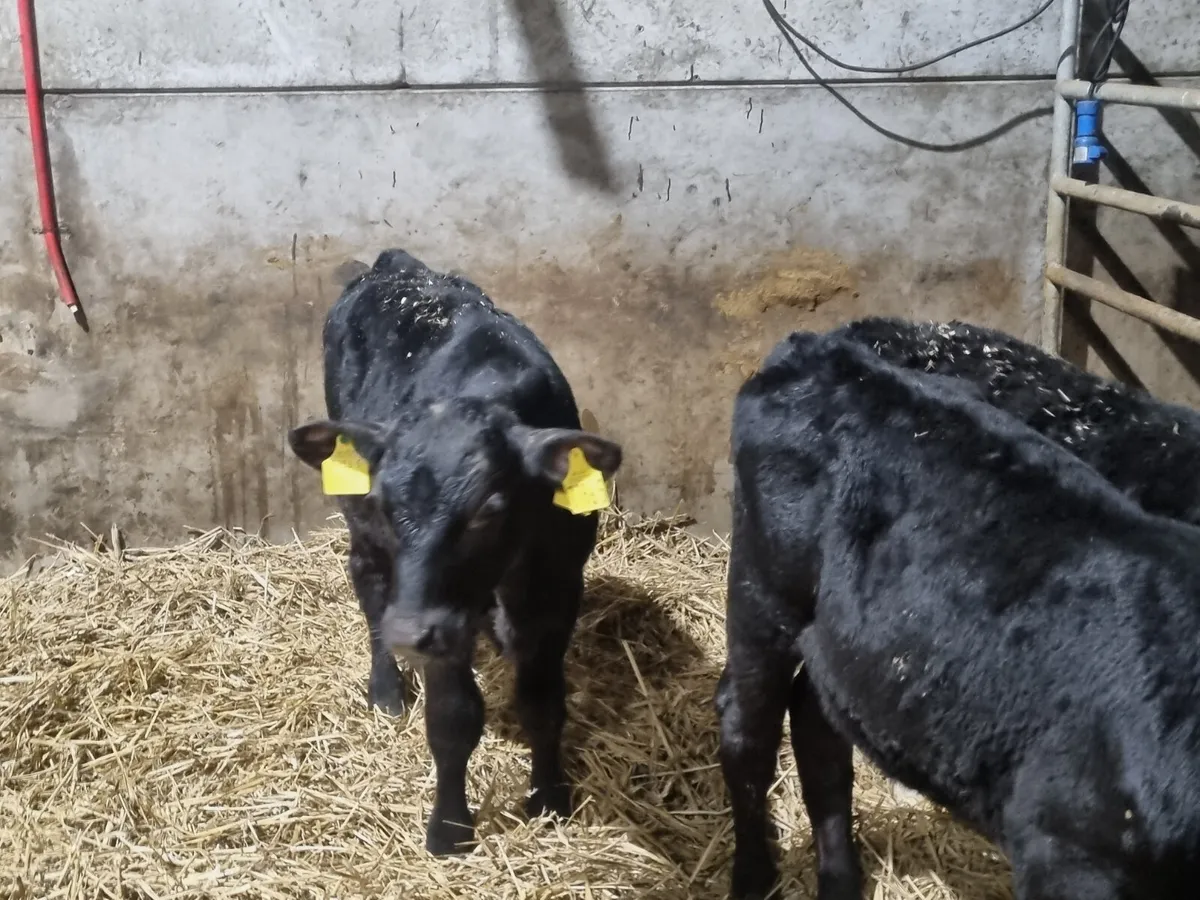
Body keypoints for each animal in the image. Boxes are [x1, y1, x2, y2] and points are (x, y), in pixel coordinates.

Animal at [288, 249, 622, 855]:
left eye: (490, 508)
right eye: (382, 499)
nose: (409, 632)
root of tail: (394, 264)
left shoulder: (558, 591)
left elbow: (544, 704)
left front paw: (549, 797)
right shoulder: (441, 623)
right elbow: (452, 720)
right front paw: (448, 828)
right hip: (366, 544)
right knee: (369, 586)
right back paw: (386, 687)